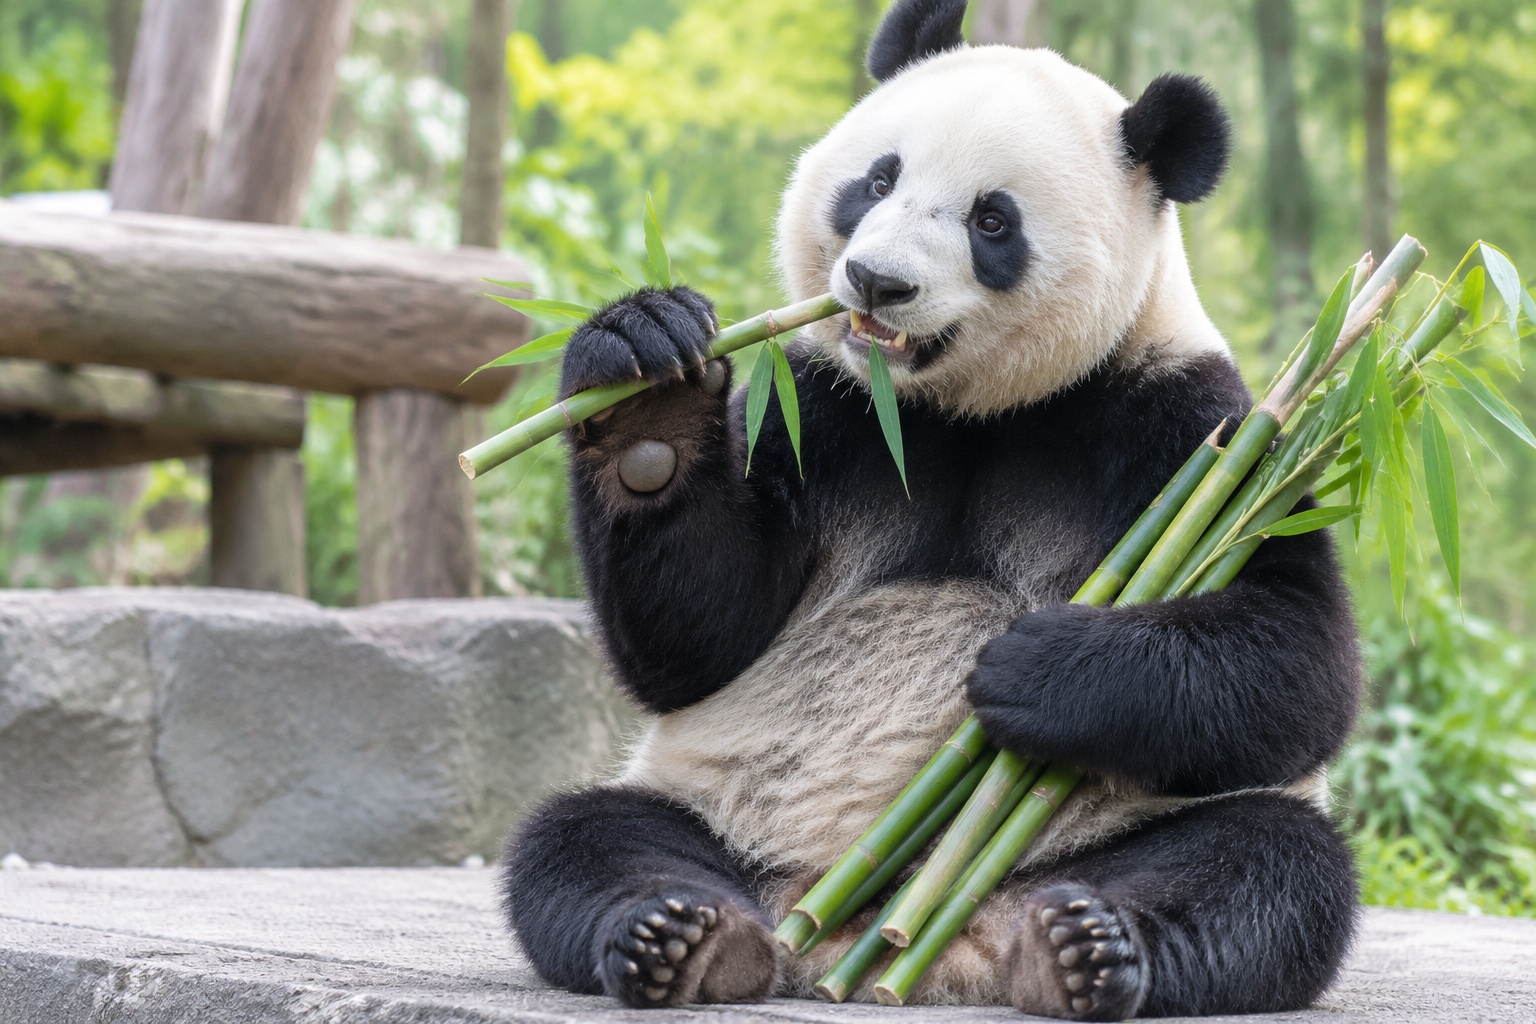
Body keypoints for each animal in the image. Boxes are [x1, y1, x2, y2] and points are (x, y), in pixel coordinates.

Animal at [500, 0, 1361, 1019]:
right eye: (878, 178)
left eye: (993, 220)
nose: (878, 281)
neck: (954, 406)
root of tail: (898, 945)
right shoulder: (816, 405)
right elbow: (700, 639)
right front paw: (649, 398)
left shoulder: (1201, 433)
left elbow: (1300, 656)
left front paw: (1035, 670)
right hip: (712, 808)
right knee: (585, 836)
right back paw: (685, 937)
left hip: (1104, 835)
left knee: (1271, 863)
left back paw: (1083, 950)